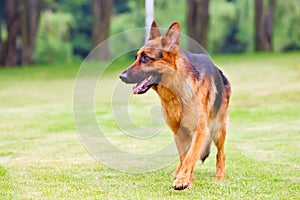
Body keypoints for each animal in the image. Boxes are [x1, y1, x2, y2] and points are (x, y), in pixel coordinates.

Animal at [118, 21, 231, 191]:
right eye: (136, 57)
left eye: (145, 58)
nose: (121, 76)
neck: (176, 93)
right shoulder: (179, 132)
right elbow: (185, 157)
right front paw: (185, 178)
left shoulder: (200, 130)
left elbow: (190, 156)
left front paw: (183, 180)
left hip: (217, 129)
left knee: (221, 153)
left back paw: (220, 175)